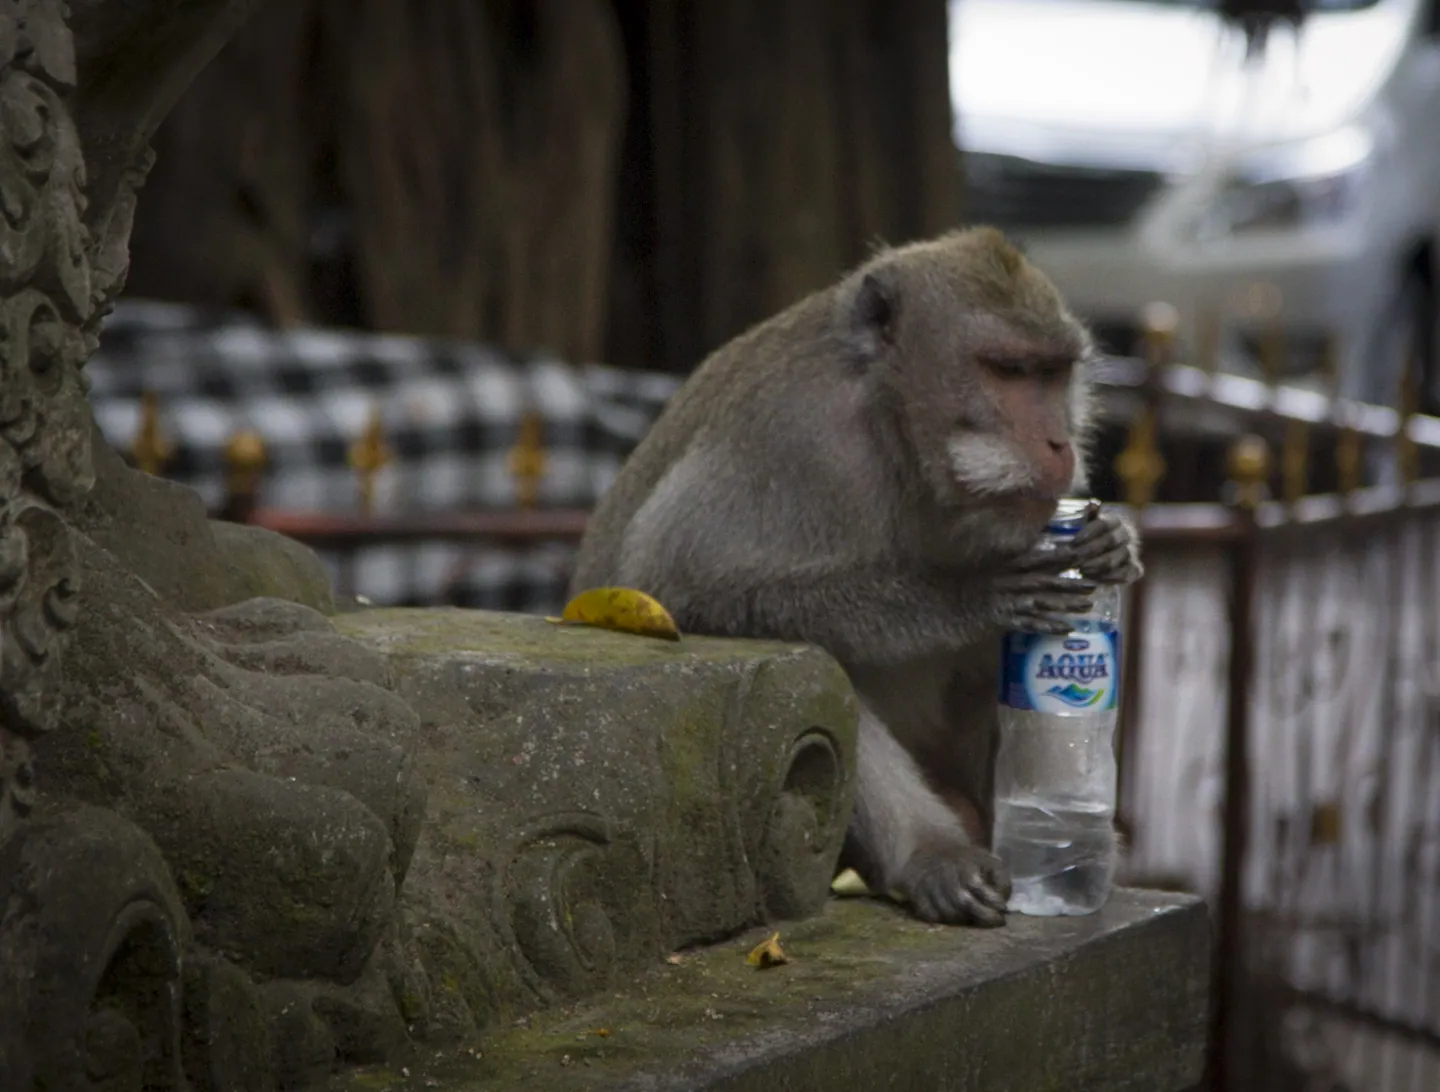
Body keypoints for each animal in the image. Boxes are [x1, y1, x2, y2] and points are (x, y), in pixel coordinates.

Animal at [570, 226, 1143, 926]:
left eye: (1053, 374)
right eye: (1008, 370)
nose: (1060, 443)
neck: (892, 431)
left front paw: (1110, 544)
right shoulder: (790, 439)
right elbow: (676, 588)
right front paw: (965, 595)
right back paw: (935, 856)